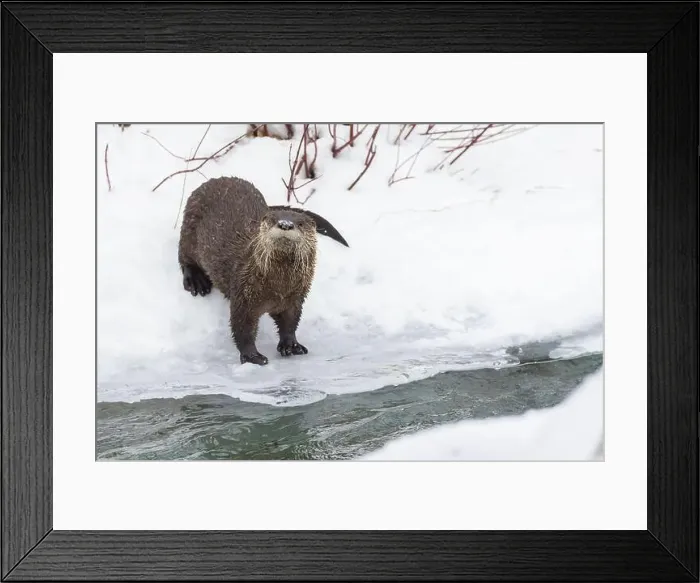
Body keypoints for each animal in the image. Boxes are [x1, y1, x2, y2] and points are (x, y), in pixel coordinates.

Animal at [177, 176, 348, 365]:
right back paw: (196, 281)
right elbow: (242, 327)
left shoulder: (295, 298)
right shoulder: (243, 293)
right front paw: (252, 356)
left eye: (300, 223)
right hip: (189, 231)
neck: (278, 288)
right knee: (184, 256)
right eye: (273, 220)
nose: (285, 224)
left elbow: (291, 322)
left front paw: (291, 345)